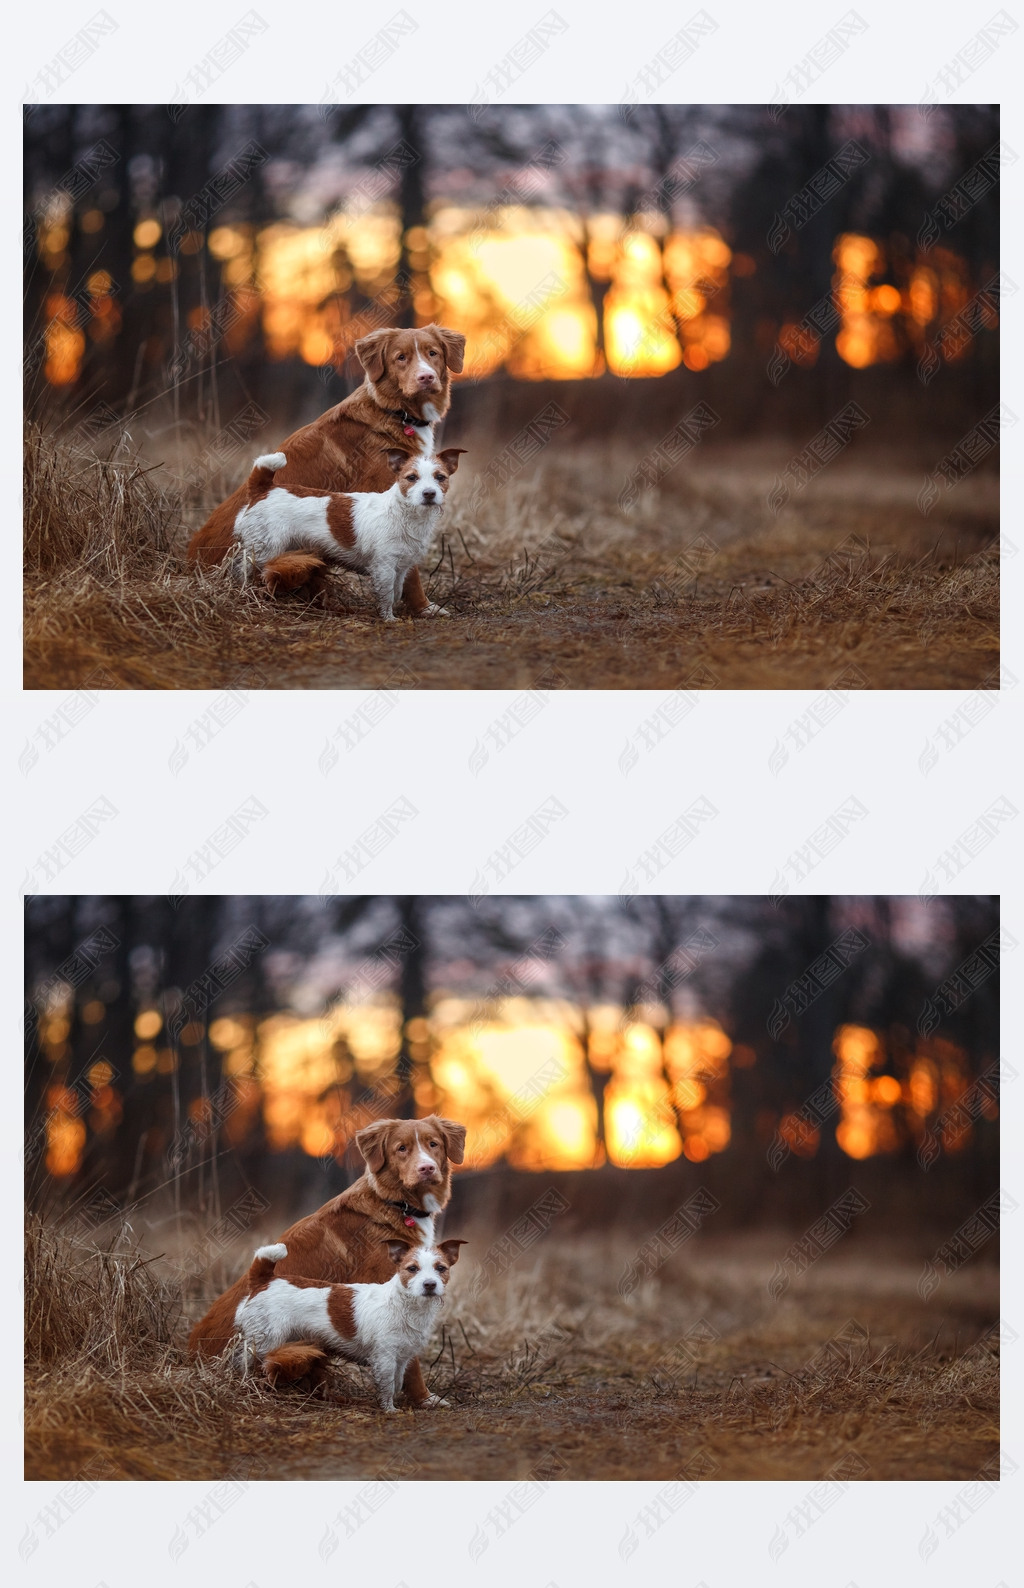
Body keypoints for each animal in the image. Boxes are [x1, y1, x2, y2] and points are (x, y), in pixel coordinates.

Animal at [230, 450, 463, 622]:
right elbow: (387, 593)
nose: (429, 493)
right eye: (411, 478)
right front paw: (388, 618)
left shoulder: (402, 567)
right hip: (264, 549)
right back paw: (243, 592)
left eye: (440, 477)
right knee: (242, 569)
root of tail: (264, 489)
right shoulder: (384, 567)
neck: (403, 512)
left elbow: (397, 591)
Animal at [234, 1232, 463, 1410]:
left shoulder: (402, 1358)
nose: (430, 1284)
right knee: (245, 1362)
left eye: (441, 1268)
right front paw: (389, 1409)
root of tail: (265, 1280)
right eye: (412, 1268)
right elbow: (387, 1385)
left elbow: (397, 1382)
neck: (404, 1304)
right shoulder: (385, 1358)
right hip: (265, 1341)